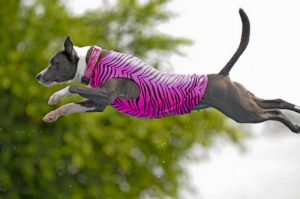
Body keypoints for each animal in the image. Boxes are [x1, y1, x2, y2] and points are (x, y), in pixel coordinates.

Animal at [37, 9, 300, 134]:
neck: (93, 61)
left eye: (53, 63)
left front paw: (55, 96)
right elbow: (72, 106)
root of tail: (221, 75)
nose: (38, 76)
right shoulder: (99, 104)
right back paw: (296, 113)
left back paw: (293, 126)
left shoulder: (105, 95)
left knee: (274, 112)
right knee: (278, 101)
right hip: (244, 100)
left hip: (242, 111)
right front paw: (53, 115)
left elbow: (72, 87)